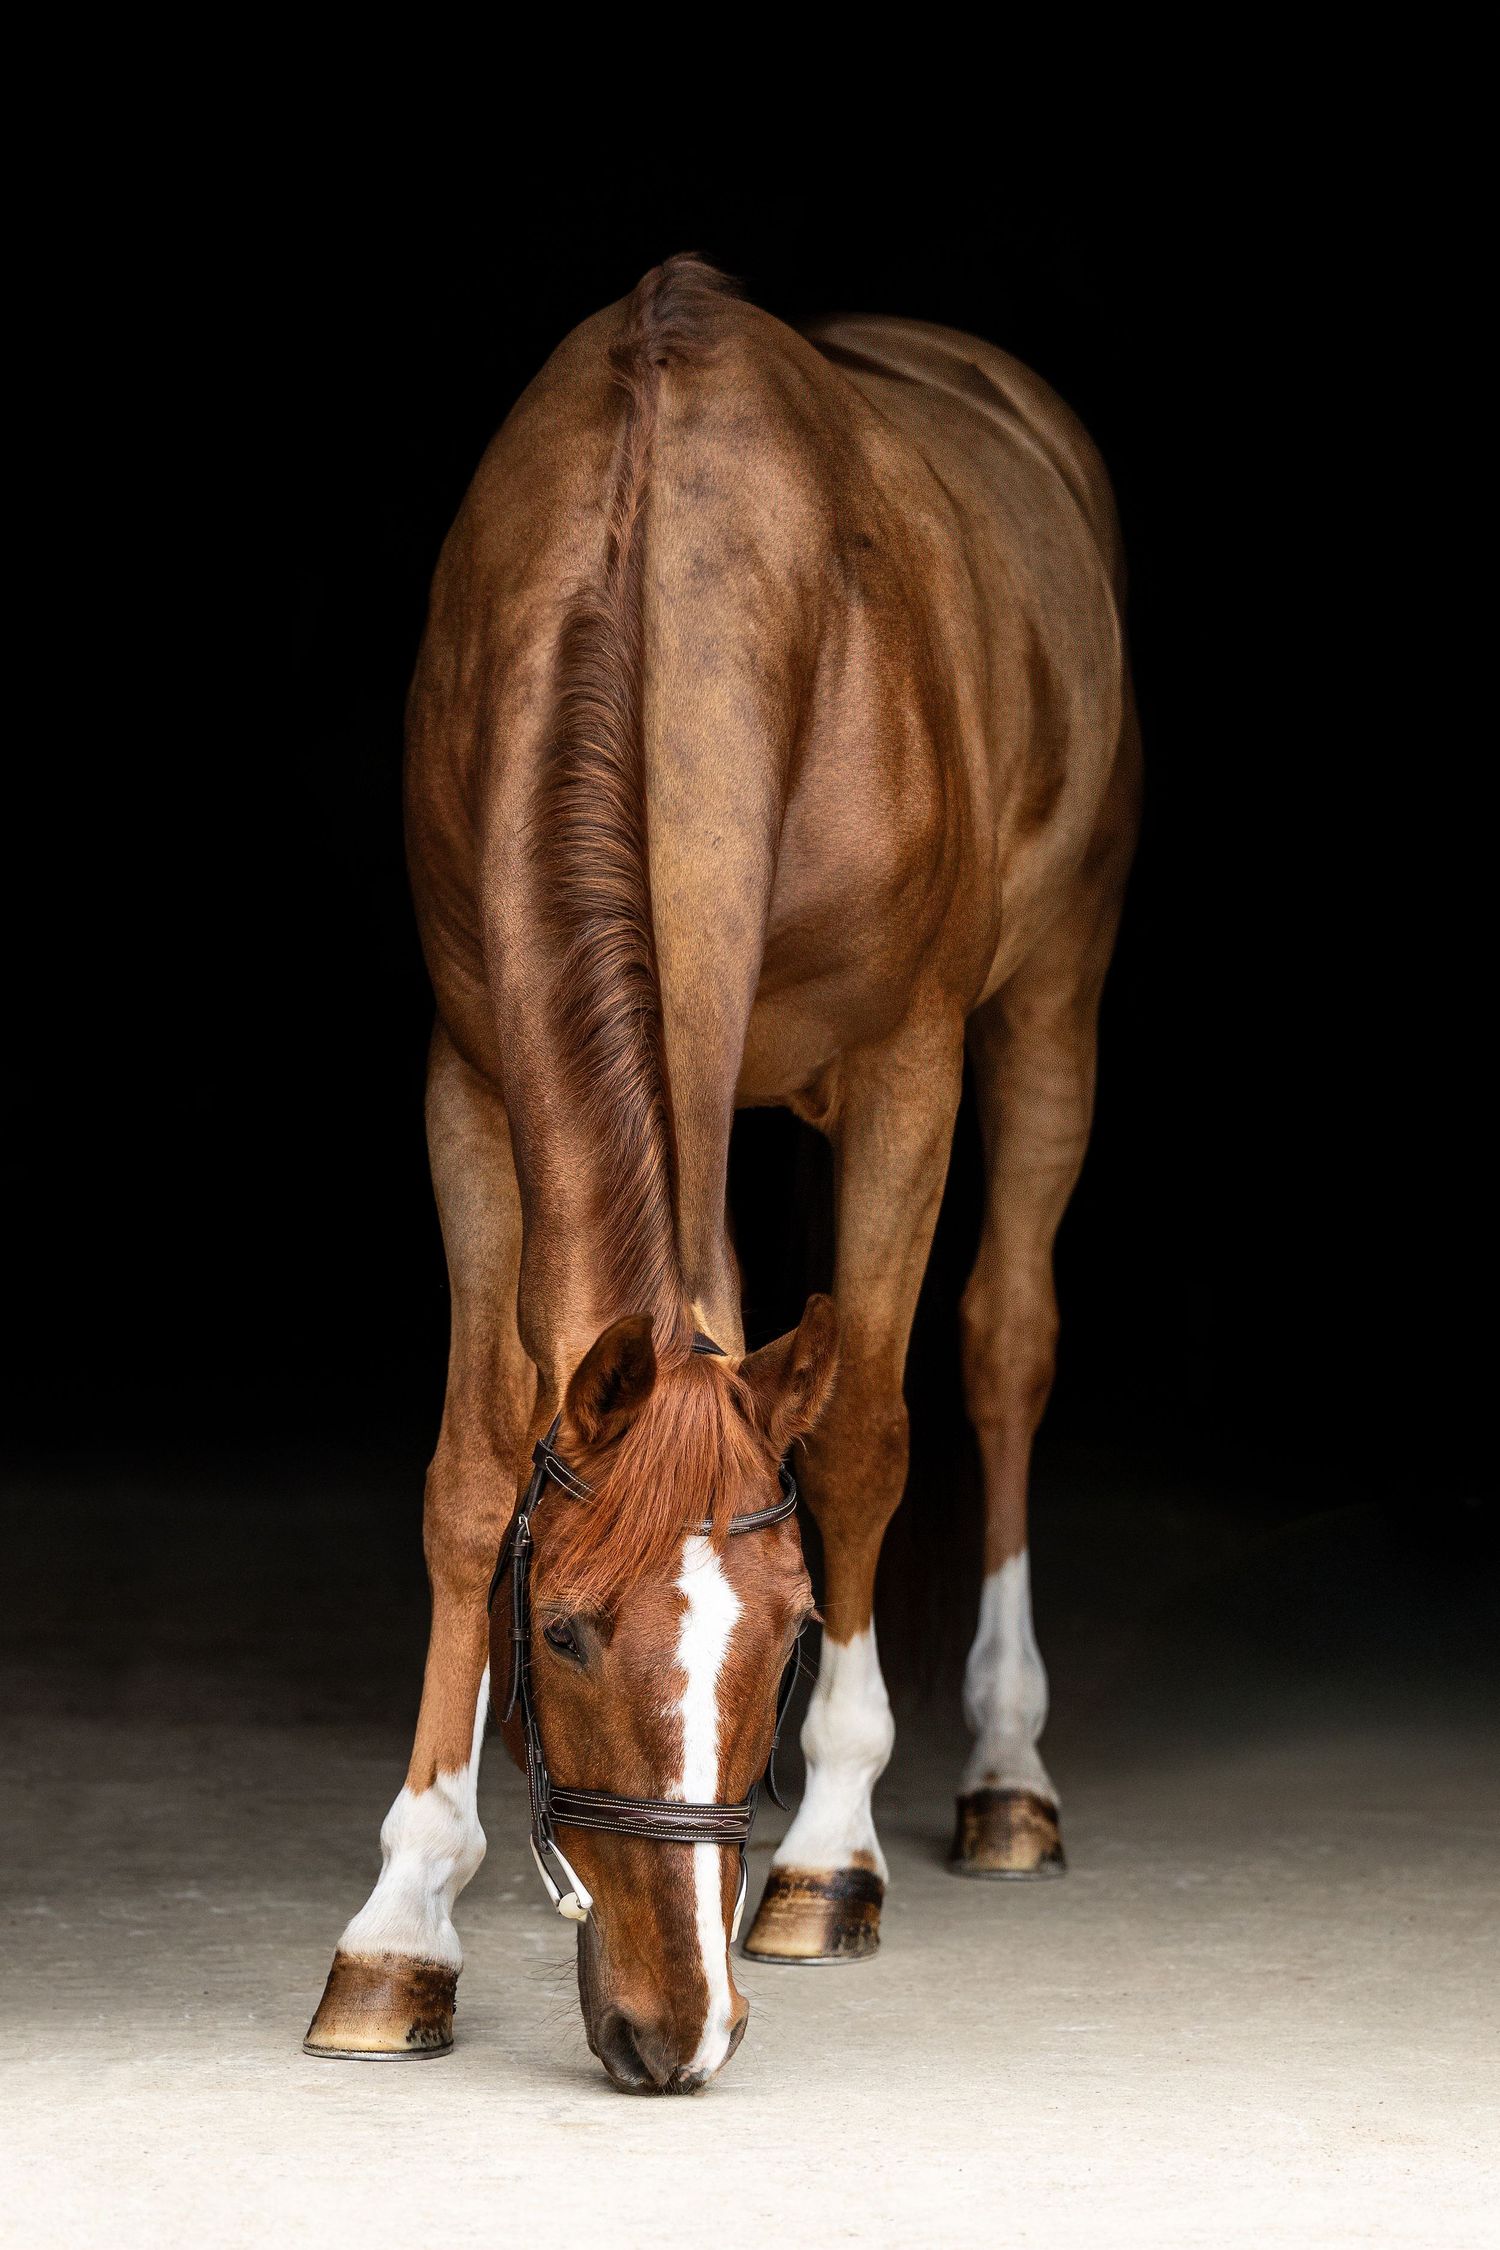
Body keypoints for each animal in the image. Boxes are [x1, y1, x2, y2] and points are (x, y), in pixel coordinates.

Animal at [304, 255, 1139, 2091]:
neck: (667, 574)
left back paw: (1004, 1778)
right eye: (560, 1630)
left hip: (1052, 995)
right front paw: (404, 1919)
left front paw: (829, 1849)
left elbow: (871, 1435)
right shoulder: (472, 1077)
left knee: (1004, 1343)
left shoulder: (909, 1061)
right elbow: (473, 1471)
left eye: (783, 1631)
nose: (674, 2031)